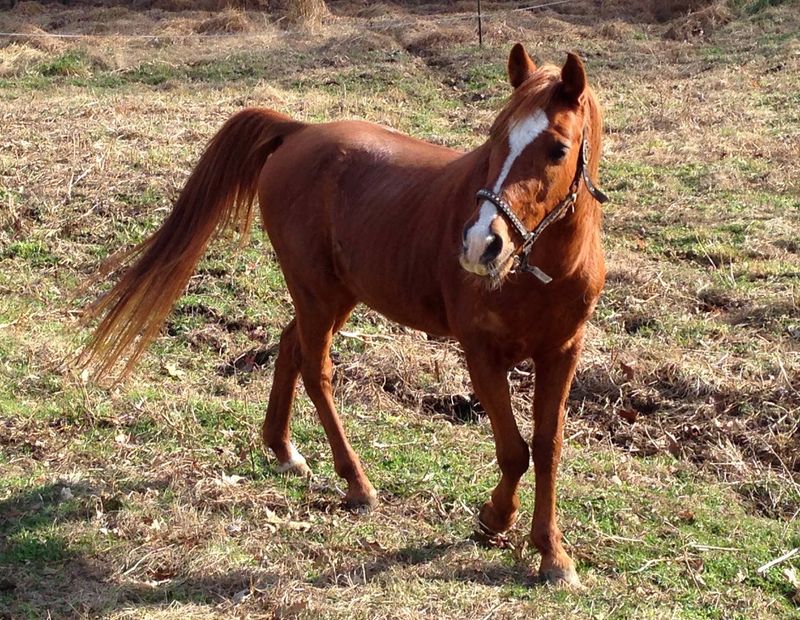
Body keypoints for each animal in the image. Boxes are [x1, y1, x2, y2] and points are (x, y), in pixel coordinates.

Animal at [80, 44, 608, 587]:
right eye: (496, 136)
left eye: (557, 149)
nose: (482, 244)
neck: (542, 272)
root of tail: (299, 132)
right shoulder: (481, 354)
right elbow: (514, 450)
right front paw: (495, 519)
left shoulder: (562, 353)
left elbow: (547, 448)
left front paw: (552, 553)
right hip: (317, 293)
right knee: (316, 370)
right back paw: (356, 482)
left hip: (335, 296)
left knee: (290, 346)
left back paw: (284, 450)